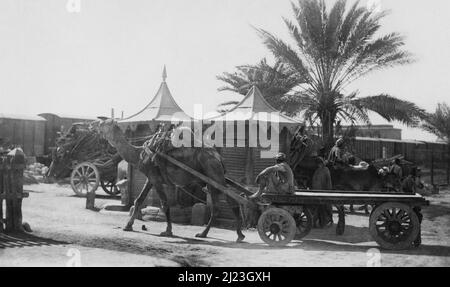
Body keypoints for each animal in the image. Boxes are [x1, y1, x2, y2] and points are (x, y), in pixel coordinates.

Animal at [92, 119, 246, 243]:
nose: (95, 124)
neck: (140, 154)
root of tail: (218, 157)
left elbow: (165, 204)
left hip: (214, 174)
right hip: (210, 180)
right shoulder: (151, 178)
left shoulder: (156, 179)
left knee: (229, 201)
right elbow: (139, 200)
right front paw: (128, 226)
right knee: (220, 205)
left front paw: (168, 231)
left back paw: (235, 234)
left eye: (105, 123)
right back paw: (209, 234)